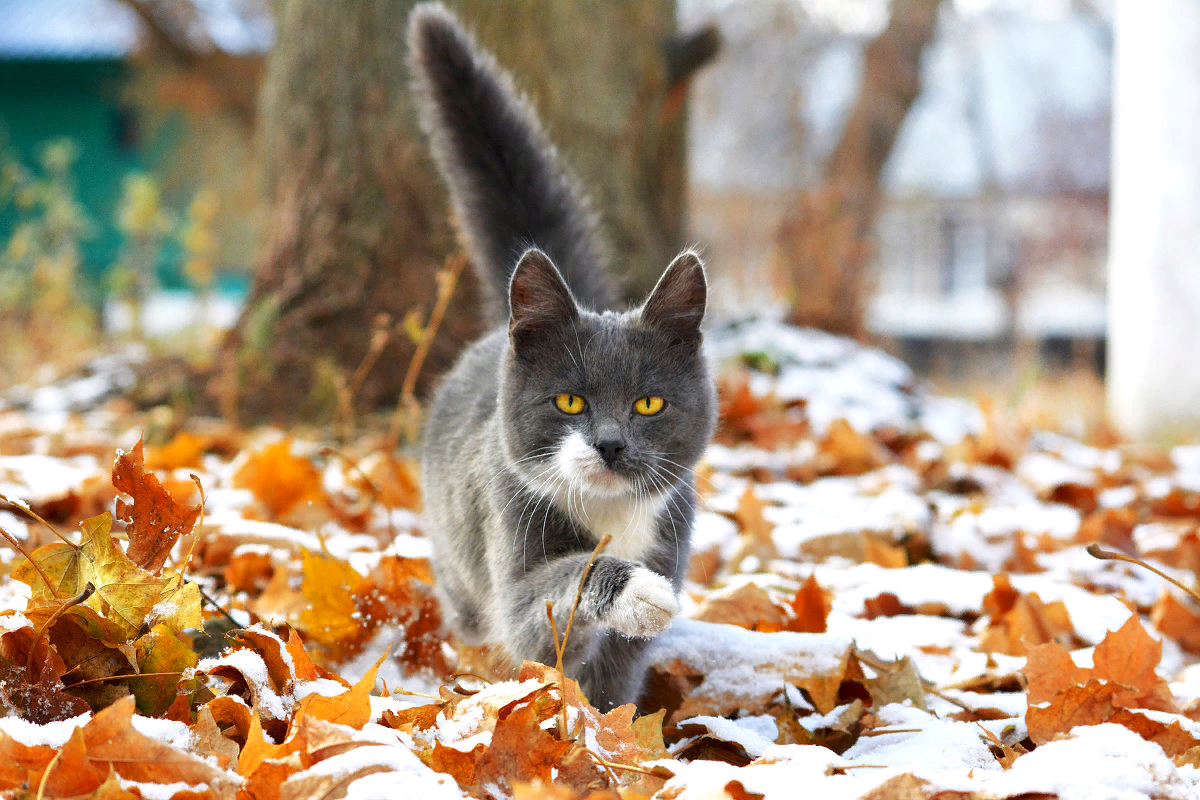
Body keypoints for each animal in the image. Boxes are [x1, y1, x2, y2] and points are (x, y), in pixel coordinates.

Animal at [408, 3, 715, 710]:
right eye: (569, 400)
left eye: (648, 404)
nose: (610, 444)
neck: (610, 515)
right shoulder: (511, 540)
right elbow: (549, 600)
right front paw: (637, 591)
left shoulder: (672, 532)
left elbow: (615, 681)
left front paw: (614, 726)